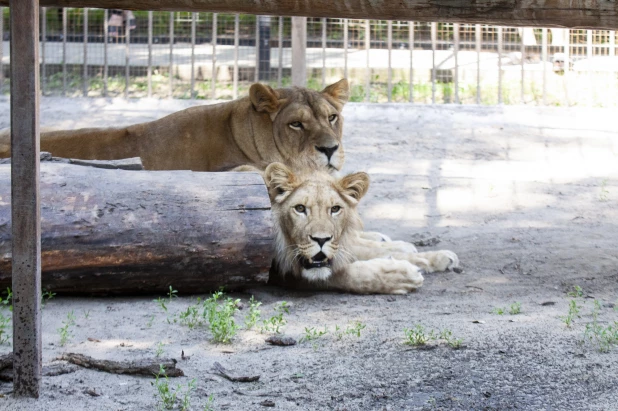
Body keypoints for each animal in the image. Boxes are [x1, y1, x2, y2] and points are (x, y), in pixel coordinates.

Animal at [262, 163, 460, 294]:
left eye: (335, 209)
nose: (321, 239)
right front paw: (401, 276)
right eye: (300, 208)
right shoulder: (277, 270)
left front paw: (434, 258)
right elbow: (345, 274)